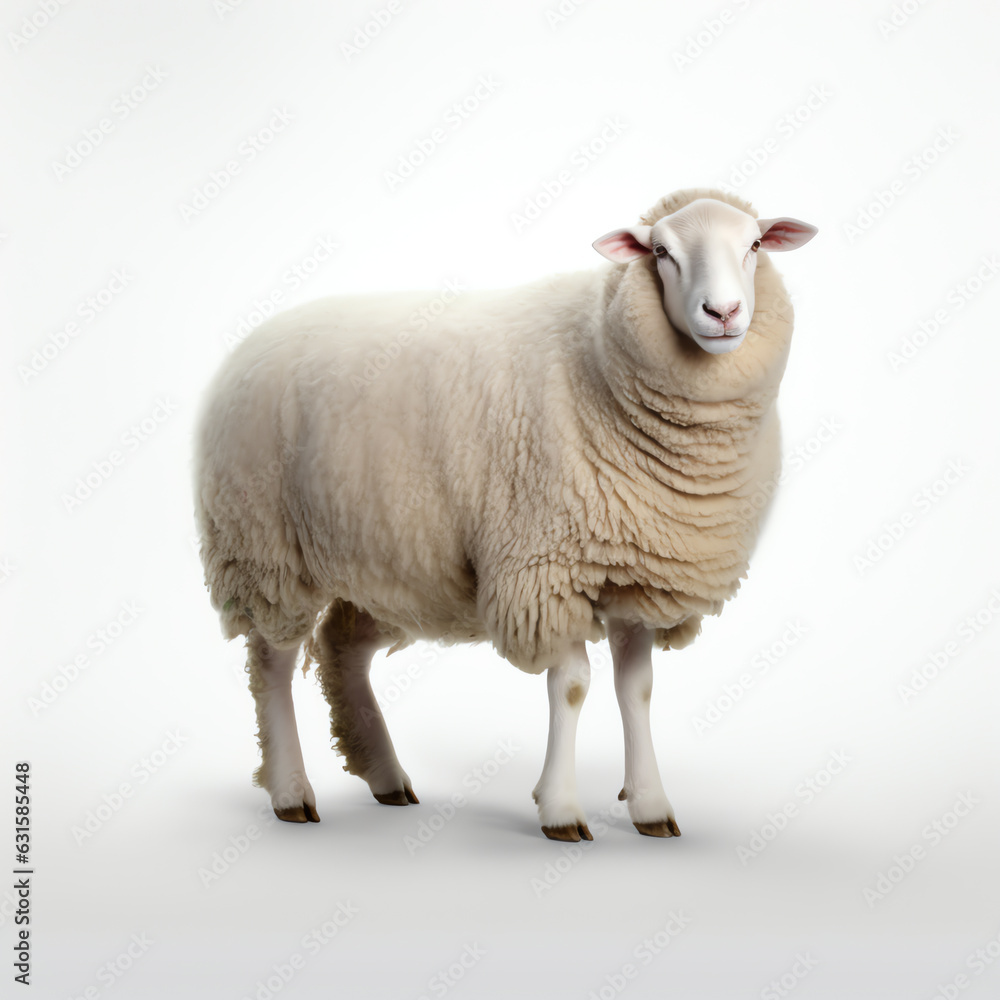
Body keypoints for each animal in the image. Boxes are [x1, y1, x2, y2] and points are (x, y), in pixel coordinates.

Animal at [194, 187, 817, 842]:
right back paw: (291, 791)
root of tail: (251, 340)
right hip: (262, 550)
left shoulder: (636, 575)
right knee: (272, 661)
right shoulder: (546, 566)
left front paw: (650, 805)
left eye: (754, 245)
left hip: (386, 564)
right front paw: (561, 810)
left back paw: (386, 776)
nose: (722, 312)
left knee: (342, 648)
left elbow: (638, 690)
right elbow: (572, 688)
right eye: (660, 252)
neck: (599, 363)